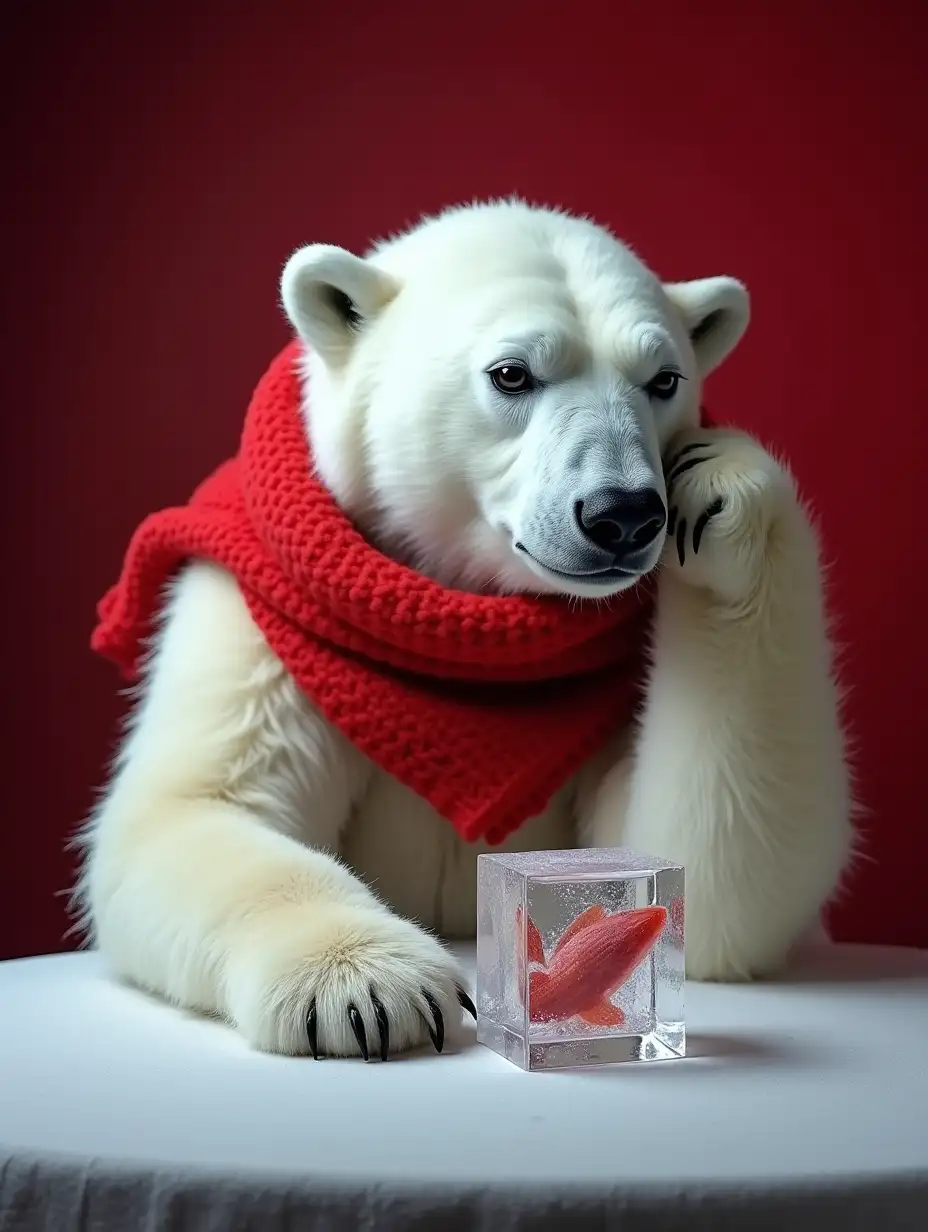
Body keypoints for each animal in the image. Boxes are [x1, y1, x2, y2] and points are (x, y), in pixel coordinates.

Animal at [76, 199, 852, 1059]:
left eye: (663, 379)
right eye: (512, 373)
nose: (622, 514)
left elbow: (705, 875)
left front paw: (717, 485)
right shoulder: (258, 608)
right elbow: (197, 804)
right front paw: (370, 989)